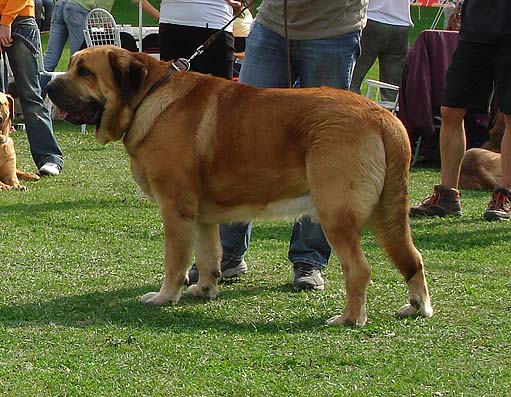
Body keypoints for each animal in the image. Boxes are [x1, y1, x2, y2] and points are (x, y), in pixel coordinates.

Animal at [46, 45, 434, 324]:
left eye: (84, 71)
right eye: (74, 64)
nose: (48, 85)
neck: (146, 97)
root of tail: (383, 115)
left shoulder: (175, 208)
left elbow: (176, 259)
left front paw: (165, 296)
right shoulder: (201, 216)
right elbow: (208, 255)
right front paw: (204, 289)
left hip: (336, 212)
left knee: (359, 269)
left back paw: (349, 318)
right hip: (386, 213)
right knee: (412, 258)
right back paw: (417, 307)